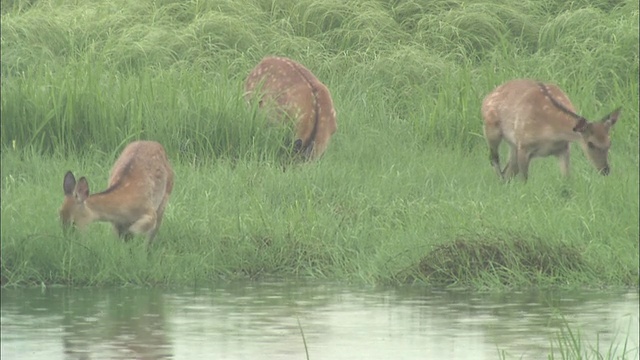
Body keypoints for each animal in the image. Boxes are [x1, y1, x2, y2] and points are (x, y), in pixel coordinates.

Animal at [482, 78, 616, 180]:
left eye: (610, 143)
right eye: (590, 144)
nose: (605, 170)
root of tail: (486, 98)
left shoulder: (563, 148)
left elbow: (567, 179)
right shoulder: (524, 145)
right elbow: (524, 181)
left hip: (513, 145)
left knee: (508, 170)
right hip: (492, 130)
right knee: (494, 159)